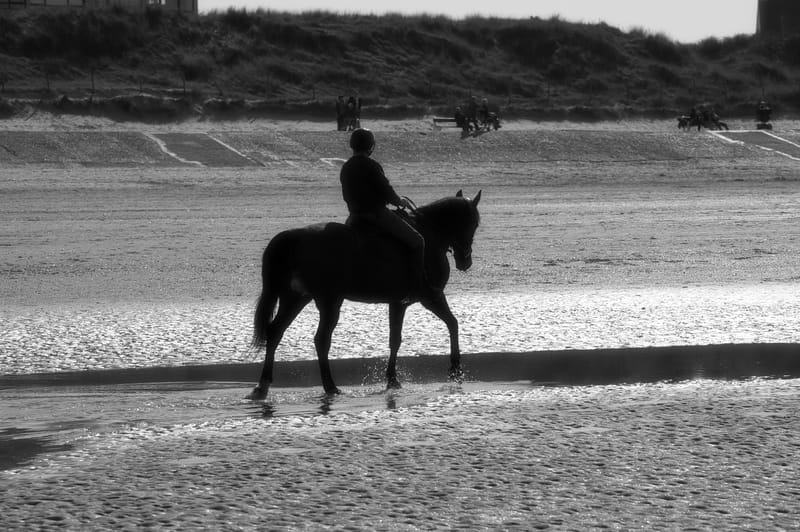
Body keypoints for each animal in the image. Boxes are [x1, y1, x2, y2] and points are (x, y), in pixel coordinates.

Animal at [249, 190, 482, 399]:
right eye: (474, 224)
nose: (466, 261)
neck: (430, 234)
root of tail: (294, 237)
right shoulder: (431, 297)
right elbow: (453, 324)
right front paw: (455, 368)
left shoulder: (398, 303)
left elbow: (395, 339)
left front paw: (392, 379)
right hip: (329, 302)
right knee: (321, 340)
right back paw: (330, 386)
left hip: (295, 298)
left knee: (275, 332)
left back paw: (263, 384)